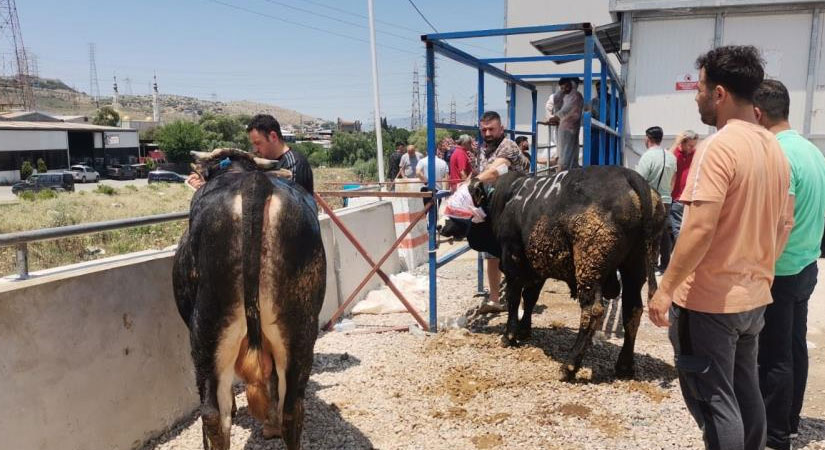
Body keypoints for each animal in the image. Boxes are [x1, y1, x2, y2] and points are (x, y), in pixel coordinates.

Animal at [174, 149, 326, 450]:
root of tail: (256, 182)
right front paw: (270, 425)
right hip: (300, 329)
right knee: (292, 408)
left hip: (207, 328)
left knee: (213, 414)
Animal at [444, 167, 664, 382]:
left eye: (459, 199)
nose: (440, 226)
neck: (504, 202)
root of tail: (629, 175)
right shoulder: (538, 267)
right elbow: (530, 298)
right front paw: (524, 330)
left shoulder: (512, 261)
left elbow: (514, 299)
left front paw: (509, 336)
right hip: (635, 268)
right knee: (632, 310)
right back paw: (624, 366)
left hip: (589, 267)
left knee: (592, 312)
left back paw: (569, 366)